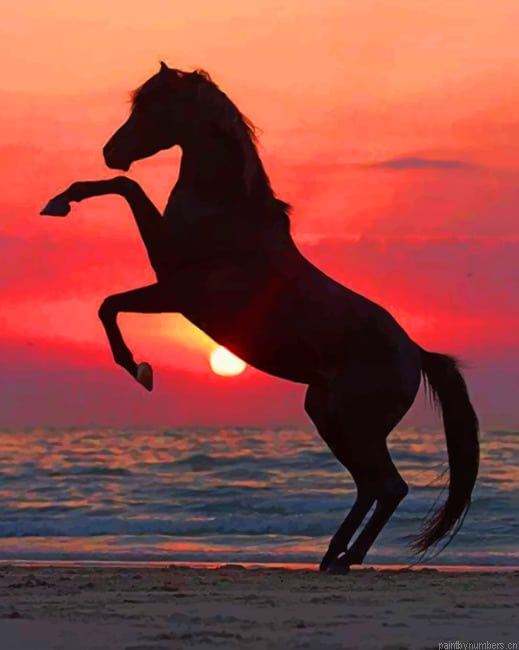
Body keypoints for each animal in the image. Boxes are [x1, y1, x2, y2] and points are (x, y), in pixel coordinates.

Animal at [41, 62, 479, 573]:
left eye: (152, 107)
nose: (110, 152)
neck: (228, 212)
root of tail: (415, 353)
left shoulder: (175, 290)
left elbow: (109, 295)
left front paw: (139, 370)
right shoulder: (171, 289)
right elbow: (122, 211)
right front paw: (60, 201)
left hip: (354, 421)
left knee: (389, 486)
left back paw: (346, 558)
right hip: (327, 414)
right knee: (370, 485)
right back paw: (331, 554)